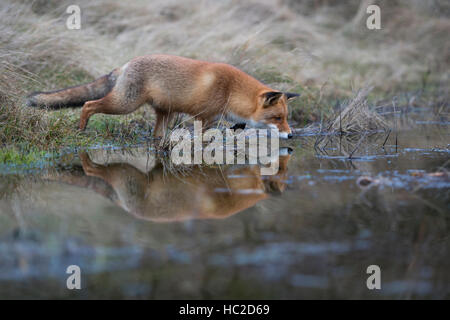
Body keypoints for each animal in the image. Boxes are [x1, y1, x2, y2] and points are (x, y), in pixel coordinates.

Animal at [27, 54, 298, 139]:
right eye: (277, 118)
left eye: (285, 118)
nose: (291, 135)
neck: (230, 91)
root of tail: (124, 65)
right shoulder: (204, 118)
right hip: (124, 105)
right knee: (87, 104)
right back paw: (82, 129)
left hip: (165, 113)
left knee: (157, 136)